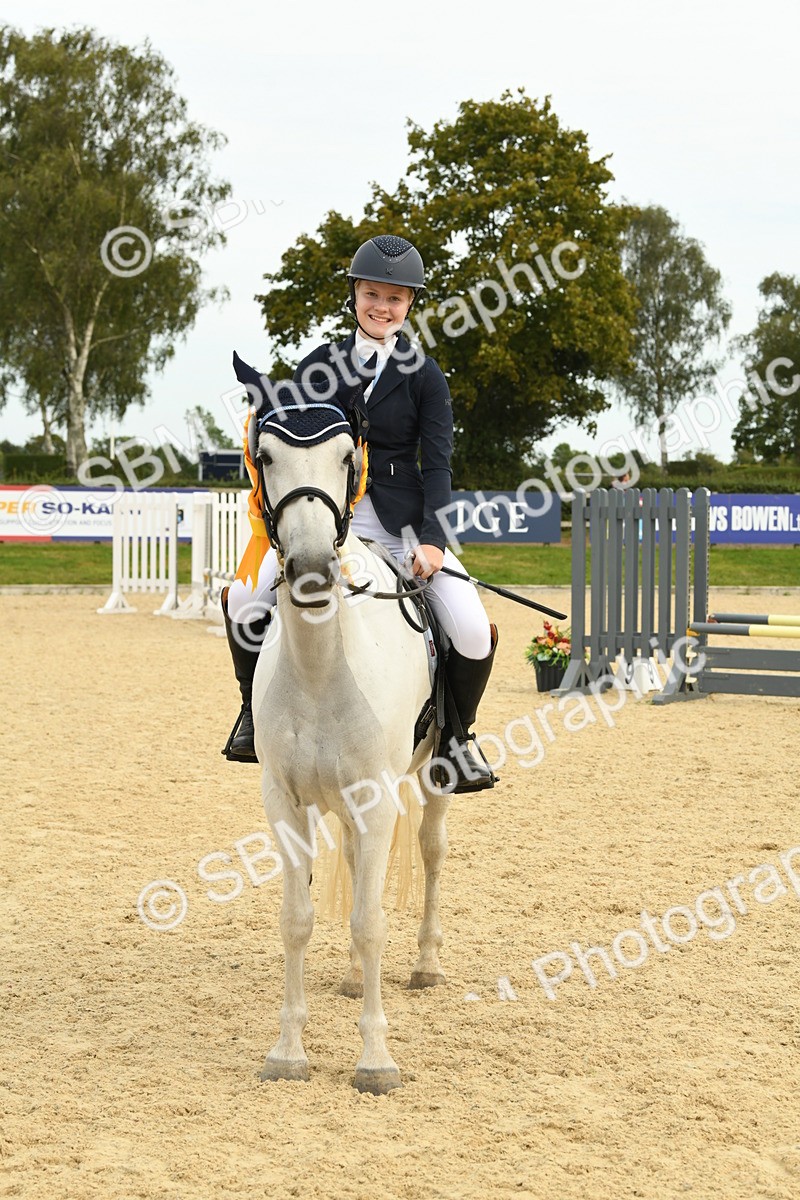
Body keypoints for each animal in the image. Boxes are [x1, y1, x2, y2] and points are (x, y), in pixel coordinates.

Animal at [250, 398, 449, 1095]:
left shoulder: (378, 798)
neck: (319, 668)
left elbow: (370, 922)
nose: (312, 571)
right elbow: (297, 920)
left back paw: (426, 965)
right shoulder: (284, 801)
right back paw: (351, 979)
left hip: (431, 778)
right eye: (266, 456)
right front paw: (287, 1051)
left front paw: (376, 1061)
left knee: (432, 852)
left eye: (345, 457)